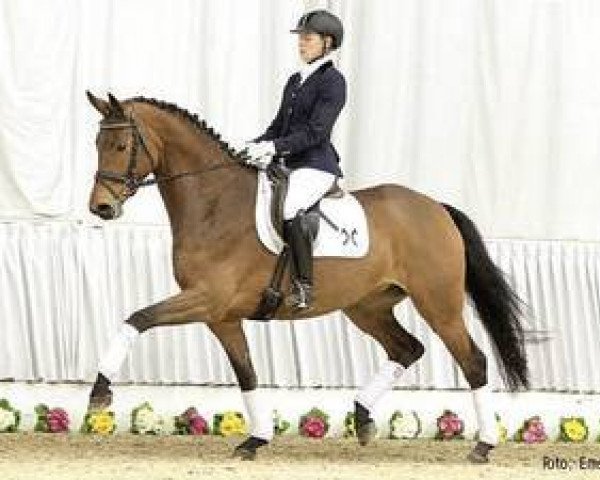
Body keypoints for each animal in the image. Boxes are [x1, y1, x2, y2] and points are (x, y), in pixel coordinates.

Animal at [85, 92, 528, 464]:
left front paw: (99, 392)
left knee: (473, 361)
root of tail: (436, 207)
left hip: (439, 304)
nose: (101, 208)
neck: (215, 203)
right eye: (97, 145)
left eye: (121, 147)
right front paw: (255, 439)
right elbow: (247, 373)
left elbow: (137, 319)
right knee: (407, 348)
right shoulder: (222, 316)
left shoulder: (207, 299)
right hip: (367, 306)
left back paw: (483, 446)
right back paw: (363, 417)